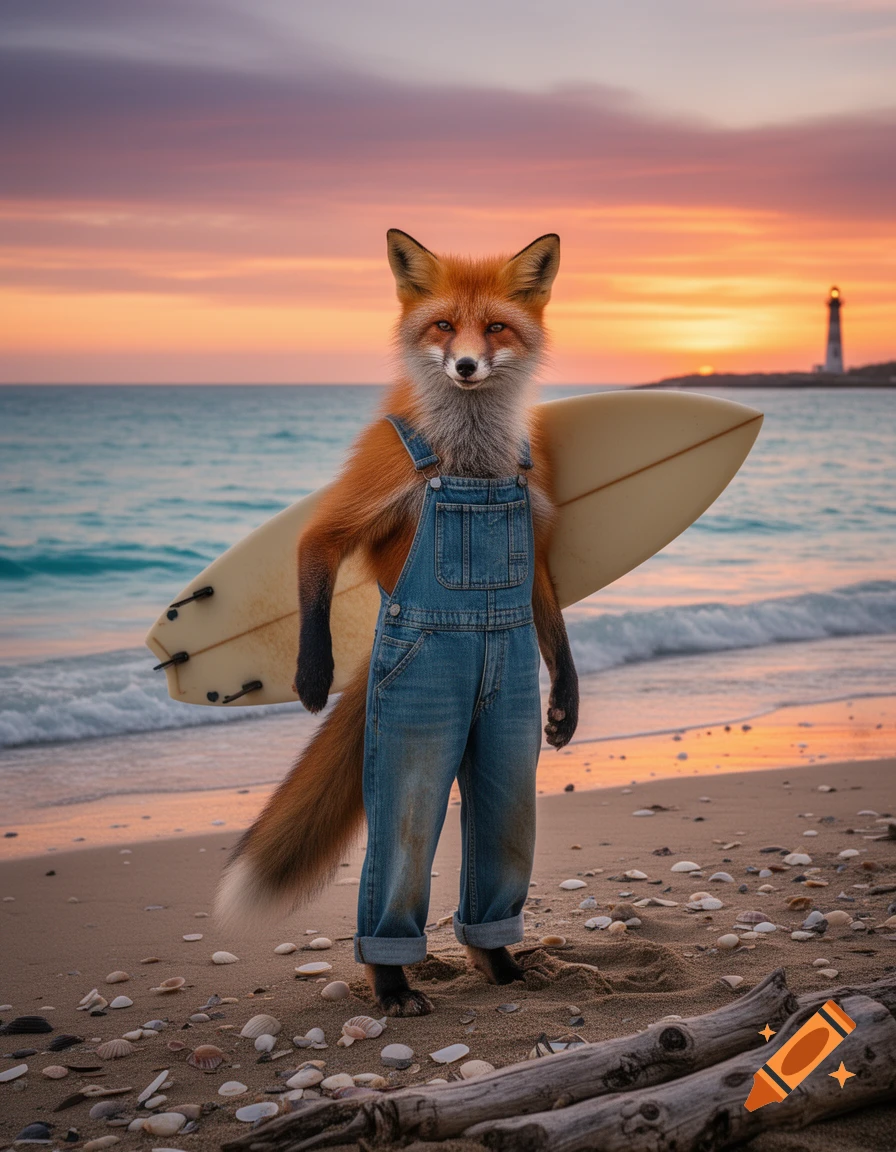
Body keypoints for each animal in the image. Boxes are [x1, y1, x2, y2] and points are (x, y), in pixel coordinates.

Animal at [215, 229, 579, 1016]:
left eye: (495, 328)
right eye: (443, 326)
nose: (467, 365)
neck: (472, 461)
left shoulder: (533, 529)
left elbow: (552, 618)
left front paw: (568, 699)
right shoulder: (367, 488)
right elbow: (313, 546)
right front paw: (311, 674)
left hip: (502, 733)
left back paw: (499, 963)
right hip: (417, 727)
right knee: (401, 841)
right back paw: (392, 985)